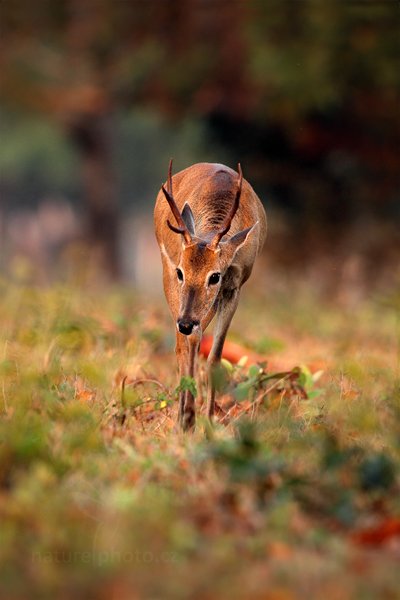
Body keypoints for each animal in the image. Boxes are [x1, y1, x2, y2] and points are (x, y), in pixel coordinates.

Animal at [155, 161, 268, 432]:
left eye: (215, 276)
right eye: (181, 272)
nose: (185, 323)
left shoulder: (234, 286)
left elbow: (215, 357)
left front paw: (208, 422)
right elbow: (190, 347)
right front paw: (189, 419)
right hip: (167, 277)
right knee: (182, 347)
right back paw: (183, 418)